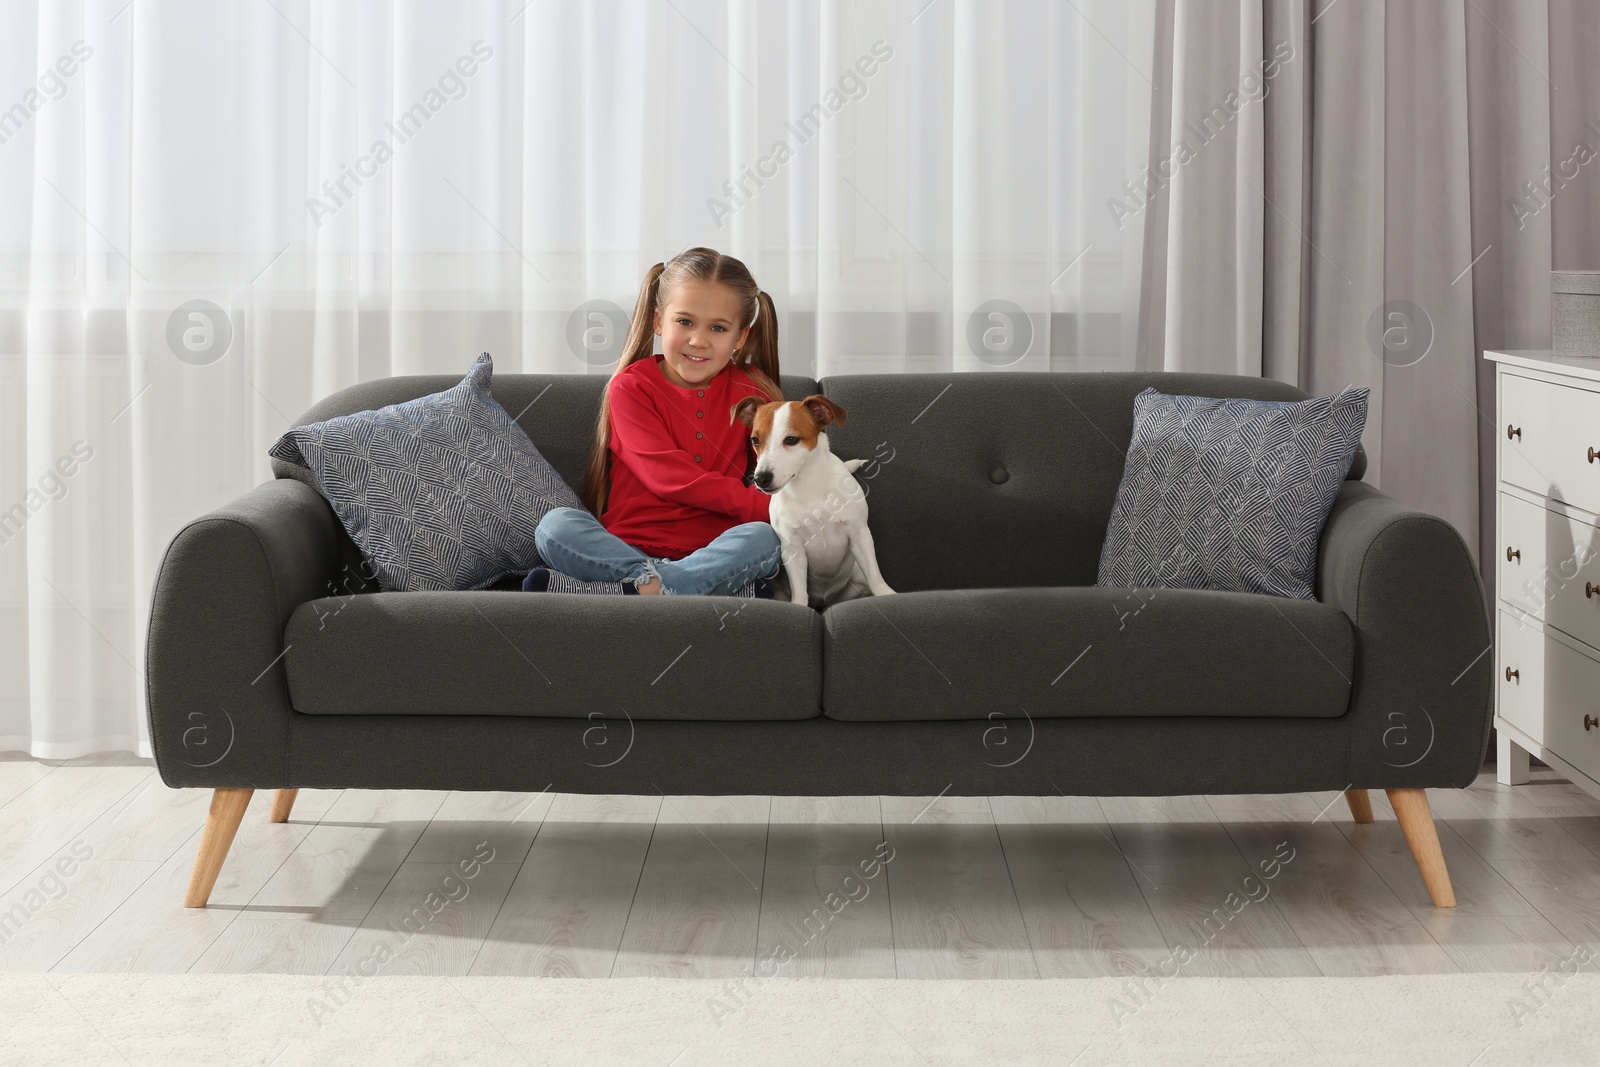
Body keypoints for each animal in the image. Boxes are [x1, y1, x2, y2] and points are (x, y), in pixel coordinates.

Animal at [732, 391, 896, 607]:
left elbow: (875, 575)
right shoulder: (793, 549)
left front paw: (887, 594)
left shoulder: (859, 535)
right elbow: (800, 591)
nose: (760, 478)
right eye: (755, 440)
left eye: (791, 439)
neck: (807, 487)